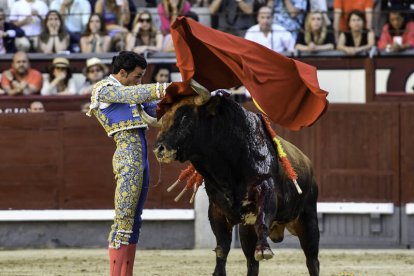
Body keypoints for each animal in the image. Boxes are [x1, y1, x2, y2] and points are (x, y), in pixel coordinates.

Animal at [154, 81, 318, 276]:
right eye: (164, 119)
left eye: (185, 117)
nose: (159, 149)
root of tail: (308, 162)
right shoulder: (217, 210)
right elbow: (222, 247)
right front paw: (218, 271)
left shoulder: (266, 191)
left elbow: (263, 219)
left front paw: (264, 250)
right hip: (247, 230)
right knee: (252, 263)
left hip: (308, 219)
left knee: (312, 260)